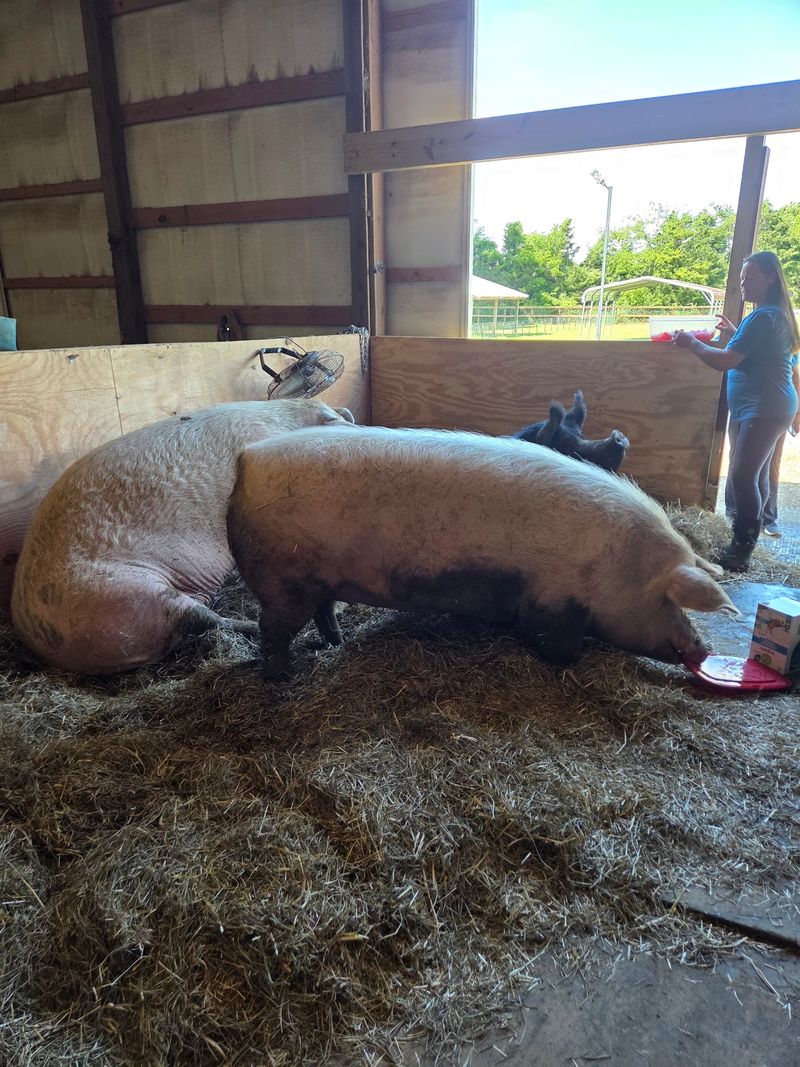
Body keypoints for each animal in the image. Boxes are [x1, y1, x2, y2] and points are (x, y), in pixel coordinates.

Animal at [226, 425, 735, 678]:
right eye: (669, 601)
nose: (705, 648)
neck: (615, 569)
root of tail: (246, 462)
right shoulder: (549, 603)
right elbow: (560, 647)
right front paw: (578, 655)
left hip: (314, 578)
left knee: (323, 610)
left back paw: (335, 643)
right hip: (282, 578)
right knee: (270, 628)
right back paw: (280, 677)